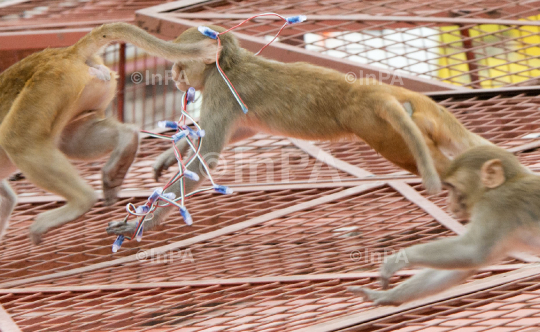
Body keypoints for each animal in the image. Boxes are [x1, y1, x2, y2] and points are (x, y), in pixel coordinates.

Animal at [0, 21, 220, 244]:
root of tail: (65, 54)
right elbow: (7, 199)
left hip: (51, 84)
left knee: (17, 141)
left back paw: (82, 200)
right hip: (85, 89)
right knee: (70, 139)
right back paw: (126, 144)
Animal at [105, 26, 494, 237]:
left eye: (179, 65)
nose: (173, 76)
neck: (227, 63)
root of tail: (373, 93)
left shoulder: (219, 89)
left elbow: (207, 159)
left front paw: (146, 222)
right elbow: (239, 132)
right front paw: (171, 155)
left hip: (383, 130)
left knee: (440, 166)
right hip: (427, 115)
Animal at [346, 145, 540, 306]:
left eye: (453, 188)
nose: (448, 203)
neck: (500, 186)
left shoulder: (495, 206)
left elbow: (473, 251)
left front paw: (398, 259)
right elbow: (462, 267)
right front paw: (387, 296)